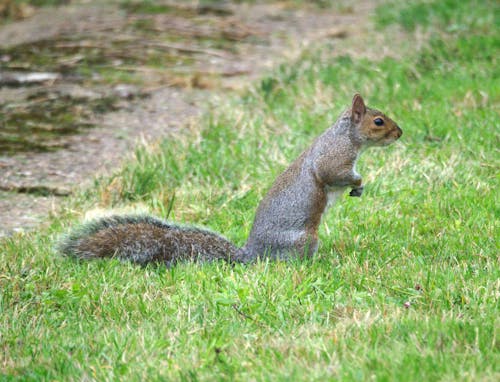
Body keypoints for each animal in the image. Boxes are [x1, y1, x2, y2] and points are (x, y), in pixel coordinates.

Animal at [58, 94, 402, 268]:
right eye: (378, 121)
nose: (400, 133)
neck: (346, 135)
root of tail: (251, 255)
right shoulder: (333, 159)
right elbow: (335, 174)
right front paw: (359, 182)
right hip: (304, 239)